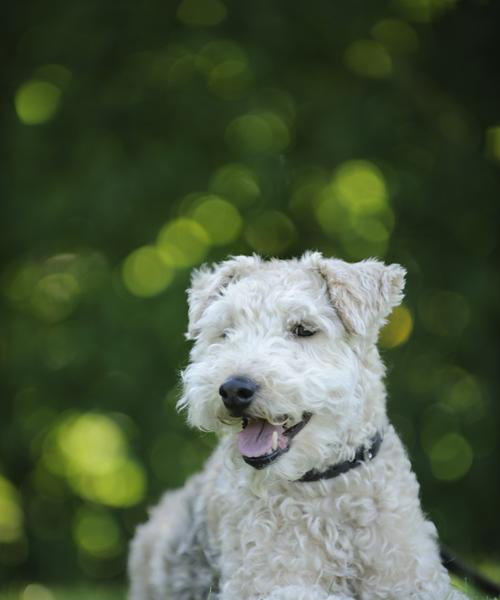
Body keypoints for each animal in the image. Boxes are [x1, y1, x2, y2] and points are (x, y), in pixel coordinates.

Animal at [127, 253, 466, 600]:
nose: (234, 390)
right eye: (226, 331)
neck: (328, 487)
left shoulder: (415, 577)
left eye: (304, 329)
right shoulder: (266, 581)